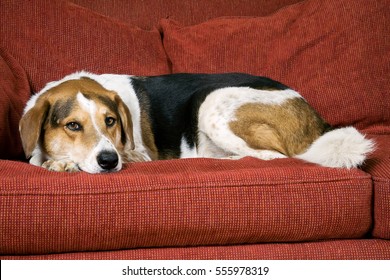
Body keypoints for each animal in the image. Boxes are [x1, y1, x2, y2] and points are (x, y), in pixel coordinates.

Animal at [19, 71, 374, 173]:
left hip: (210, 101)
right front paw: (56, 160)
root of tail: (318, 120)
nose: (109, 161)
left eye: (110, 121)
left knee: (274, 157)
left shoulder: (139, 154)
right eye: (72, 125)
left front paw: (62, 164)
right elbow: (37, 157)